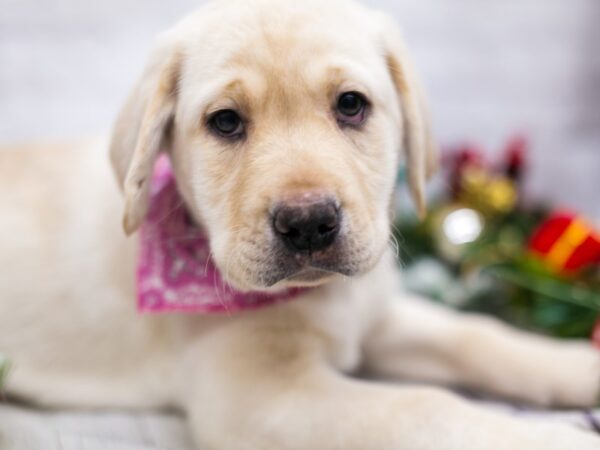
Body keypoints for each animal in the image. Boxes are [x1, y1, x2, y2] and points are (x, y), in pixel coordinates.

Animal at [1, 0, 600, 450]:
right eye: (225, 121)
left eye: (352, 104)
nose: (309, 223)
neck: (325, 295)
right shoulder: (260, 399)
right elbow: (421, 406)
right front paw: (558, 439)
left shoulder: (375, 314)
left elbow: (479, 335)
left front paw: (581, 366)